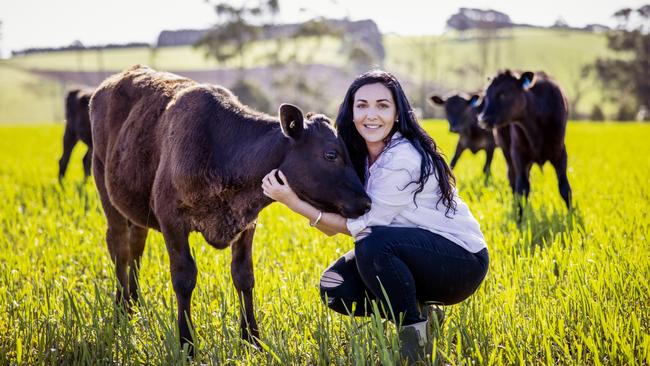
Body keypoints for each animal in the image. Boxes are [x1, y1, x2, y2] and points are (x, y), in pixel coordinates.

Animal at [90, 66, 370, 354]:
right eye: (331, 155)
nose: (366, 202)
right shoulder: (171, 220)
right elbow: (183, 278)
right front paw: (187, 344)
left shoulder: (247, 222)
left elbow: (243, 275)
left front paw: (252, 339)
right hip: (104, 188)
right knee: (120, 248)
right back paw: (121, 310)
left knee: (136, 247)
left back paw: (133, 304)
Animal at [476, 69, 572, 210]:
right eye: (486, 96)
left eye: (502, 94)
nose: (482, 119)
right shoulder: (518, 154)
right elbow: (521, 189)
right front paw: (520, 215)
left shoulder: (560, 153)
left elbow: (565, 188)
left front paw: (571, 214)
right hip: (507, 150)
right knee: (512, 178)